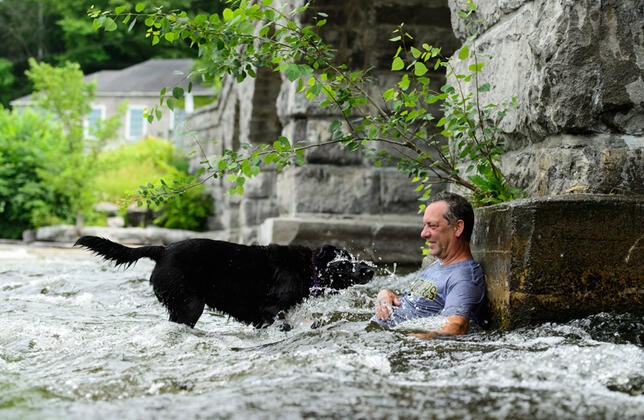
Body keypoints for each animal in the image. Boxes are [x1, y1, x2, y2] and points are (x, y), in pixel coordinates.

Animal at [73, 236, 374, 328]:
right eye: (344, 263)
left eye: (353, 258)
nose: (369, 271)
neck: (308, 268)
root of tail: (162, 249)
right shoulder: (269, 311)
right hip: (190, 305)